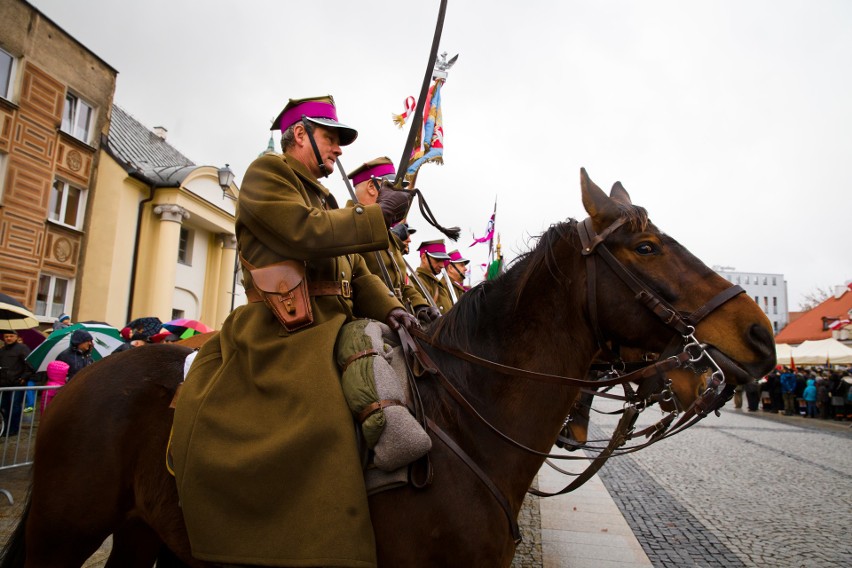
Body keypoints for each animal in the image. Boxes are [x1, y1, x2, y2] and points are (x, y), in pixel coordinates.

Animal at [0, 170, 776, 568]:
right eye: (645, 247)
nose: (762, 337)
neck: (470, 422)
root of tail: (90, 381)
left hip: (142, 534)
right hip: (64, 532)